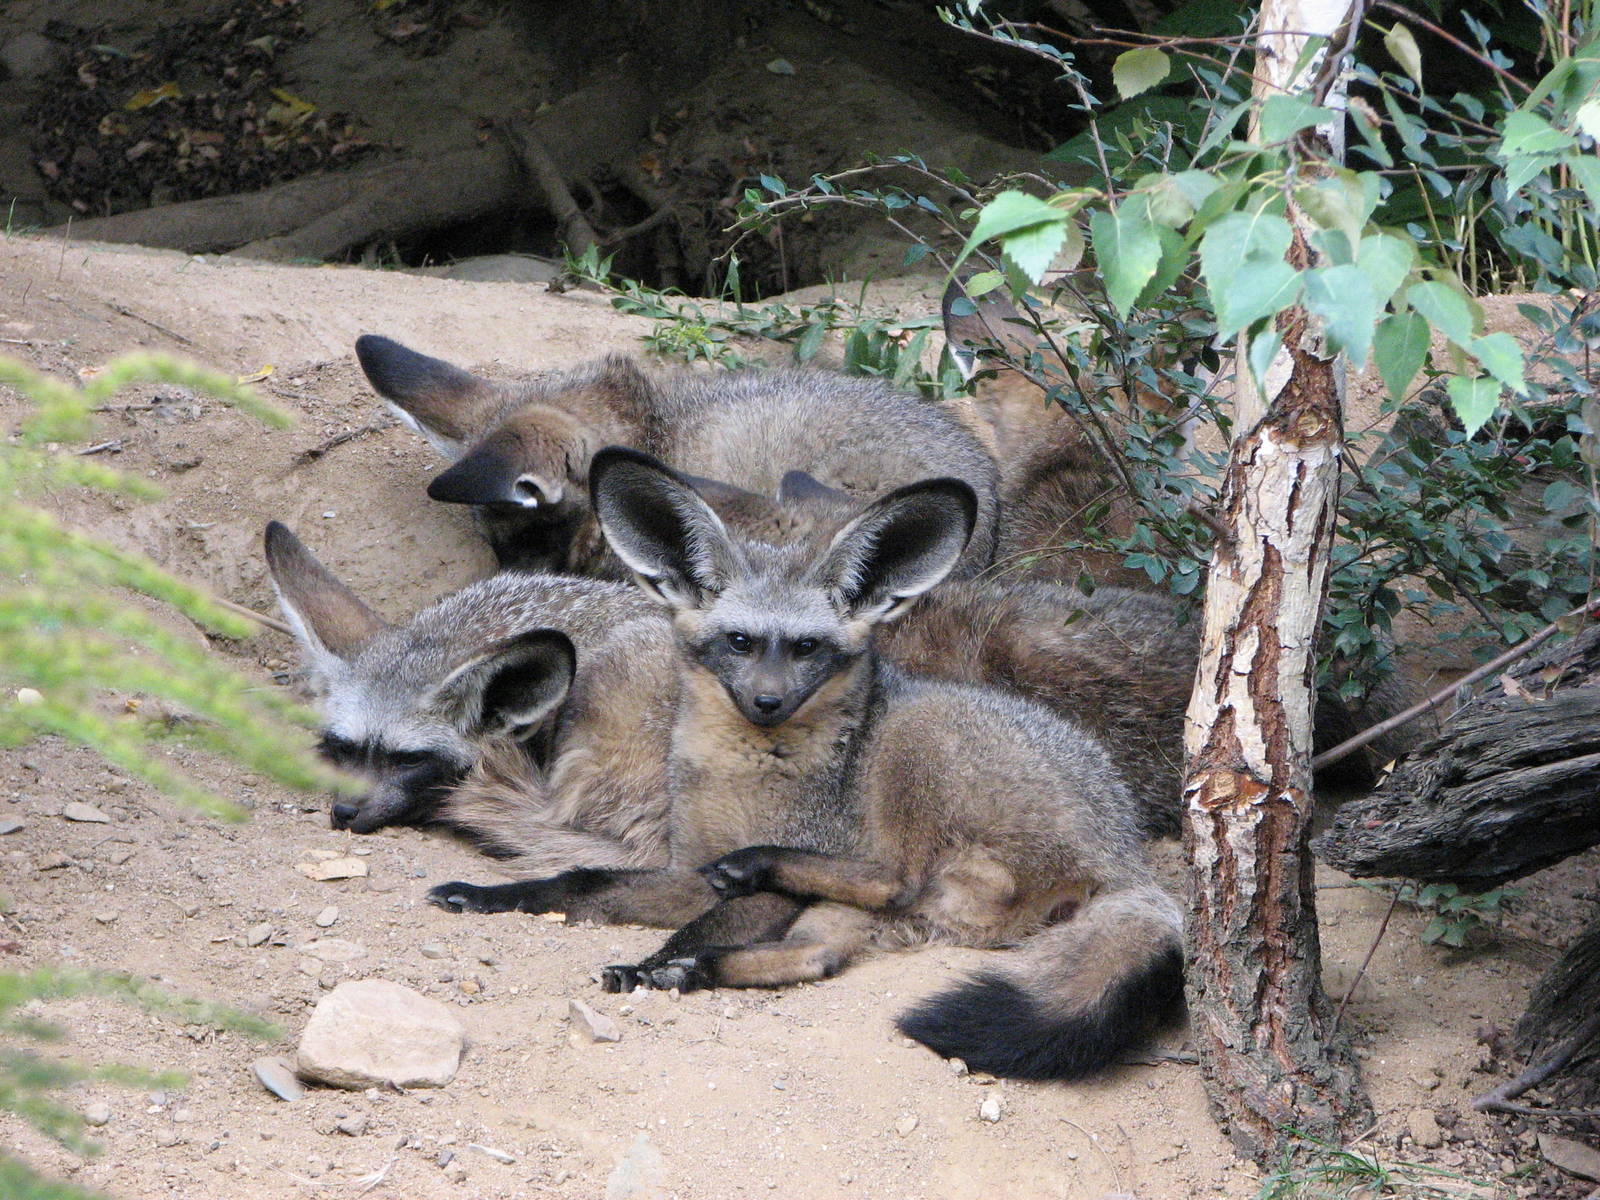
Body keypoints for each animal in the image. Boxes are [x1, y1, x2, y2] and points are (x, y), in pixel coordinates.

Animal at [427, 447, 1185, 1081]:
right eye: (738, 642)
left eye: (807, 648)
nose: (767, 702)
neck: (741, 783)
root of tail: (1126, 852)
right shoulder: (685, 867)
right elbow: (582, 883)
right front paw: (492, 896)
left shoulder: (757, 884)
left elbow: (684, 917)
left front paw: (652, 963)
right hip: (875, 903)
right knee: (822, 954)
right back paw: (704, 963)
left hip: (915, 746)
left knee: (892, 881)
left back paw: (745, 885)